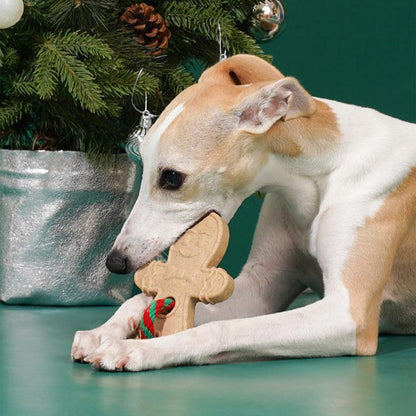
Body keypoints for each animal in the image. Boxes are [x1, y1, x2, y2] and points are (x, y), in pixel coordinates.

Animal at [70, 54, 416, 370]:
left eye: (172, 178)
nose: (115, 262)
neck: (322, 169)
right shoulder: (260, 287)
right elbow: (139, 299)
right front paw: (103, 332)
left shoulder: (348, 313)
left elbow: (216, 329)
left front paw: (140, 349)